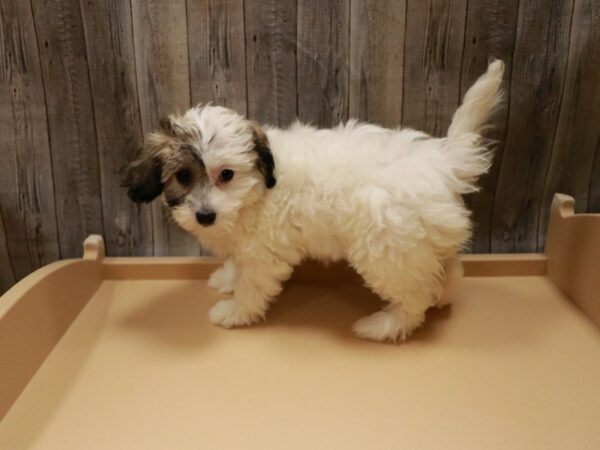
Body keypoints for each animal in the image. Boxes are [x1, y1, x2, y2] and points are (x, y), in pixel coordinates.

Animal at [124, 59, 504, 342]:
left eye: (226, 174)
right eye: (183, 176)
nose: (205, 216)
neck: (259, 188)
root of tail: (443, 161)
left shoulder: (264, 253)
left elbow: (252, 284)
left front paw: (235, 311)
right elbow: (239, 265)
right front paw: (228, 278)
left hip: (388, 247)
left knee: (414, 295)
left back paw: (384, 326)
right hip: (421, 240)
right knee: (448, 270)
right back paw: (444, 295)